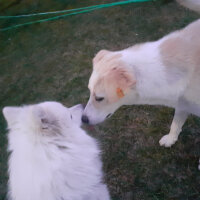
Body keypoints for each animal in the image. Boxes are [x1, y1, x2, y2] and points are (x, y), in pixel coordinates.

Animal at [82, 0, 200, 169]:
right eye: (89, 92)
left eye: (99, 98)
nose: (83, 119)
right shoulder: (182, 104)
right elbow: (175, 124)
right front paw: (171, 139)